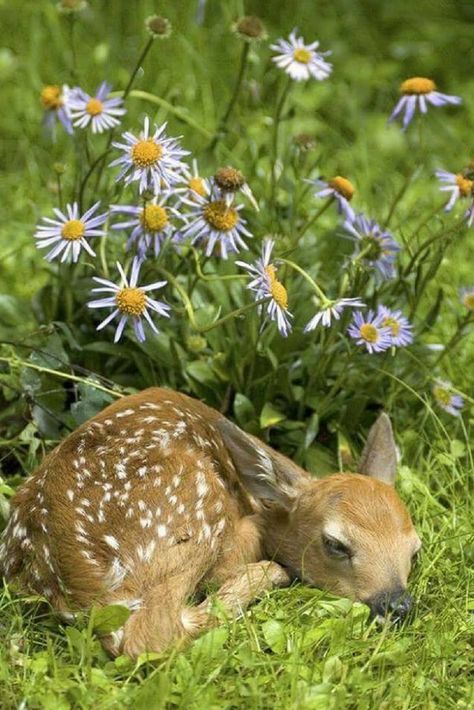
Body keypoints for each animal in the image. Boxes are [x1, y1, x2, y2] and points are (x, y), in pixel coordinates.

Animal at [0, 390, 422, 656]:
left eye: (414, 549)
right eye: (335, 543)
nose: (397, 604)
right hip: (193, 509)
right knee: (152, 632)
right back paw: (270, 574)